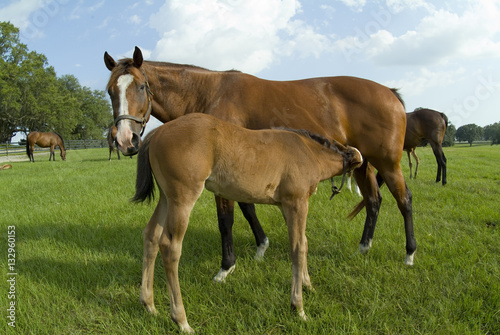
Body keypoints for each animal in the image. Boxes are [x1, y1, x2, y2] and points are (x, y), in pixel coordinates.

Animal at [103, 46, 416, 286]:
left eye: (141, 87)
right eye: (109, 91)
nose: (125, 139)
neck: (208, 93)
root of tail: (390, 93)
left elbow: (226, 220)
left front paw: (225, 268)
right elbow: (248, 207)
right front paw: (261, 246)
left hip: (388, 163)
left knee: (404, 200)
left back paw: (409, 254)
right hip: (361, 163)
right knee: (374, 200)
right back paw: (363, 248)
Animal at [133, 113, 364, 334]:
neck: (308, 152)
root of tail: (157, 132)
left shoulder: (286, 207)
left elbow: (303, 242)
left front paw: (308, 285)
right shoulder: (296, 203)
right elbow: (298, 248)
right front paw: (298, 308)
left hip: (166, 198)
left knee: (151, 236)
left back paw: (149, 305)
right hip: (182, 198)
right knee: (170, 247)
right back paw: (181, 320)